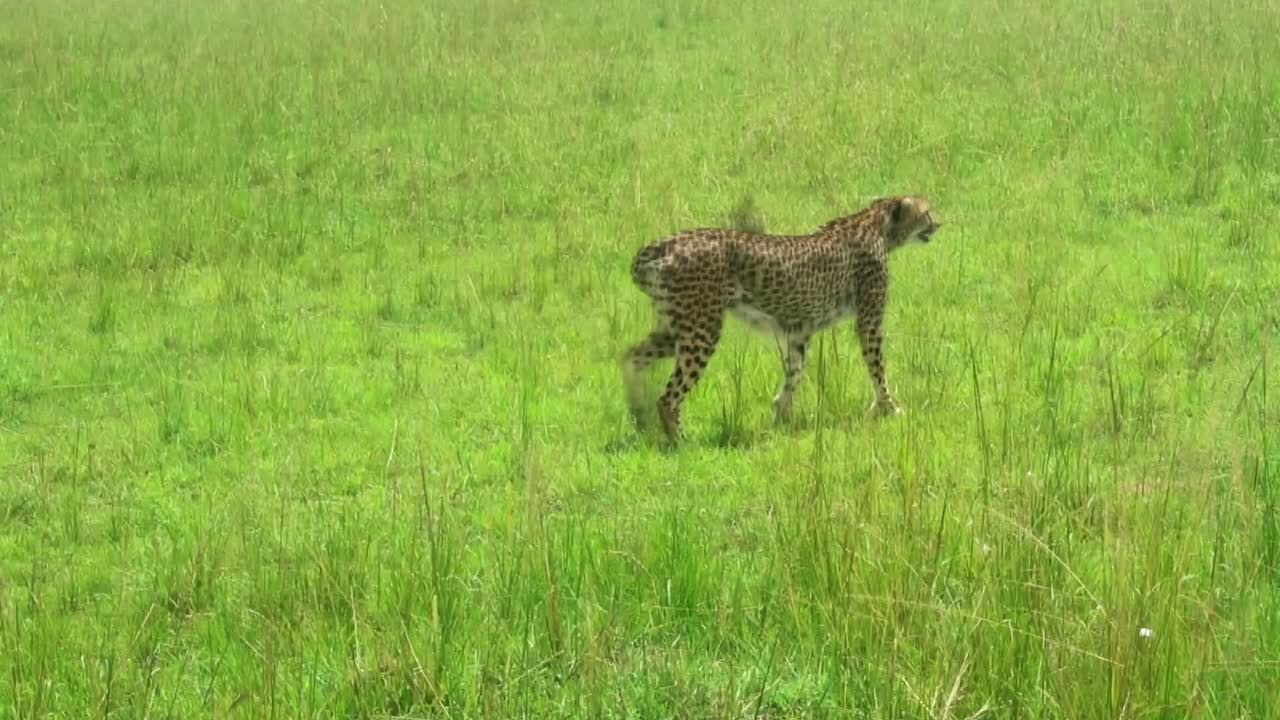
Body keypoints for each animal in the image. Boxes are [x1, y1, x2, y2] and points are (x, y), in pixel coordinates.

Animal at [621, 195, 941, 443]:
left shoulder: (799, 331)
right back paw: (679, 440)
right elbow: (878, 369)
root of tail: (659, 245)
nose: (938, 223)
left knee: (631, 356)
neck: (876, 223)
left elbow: (794, 373)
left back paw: (639, 417)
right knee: (668, 396)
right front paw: (890, 408)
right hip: (702, 329)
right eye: (926, 212)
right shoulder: (869, 321)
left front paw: (783, 417)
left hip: (676, 327)